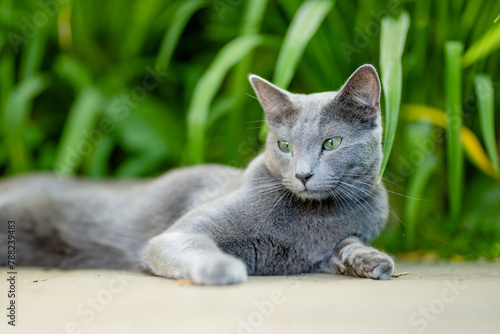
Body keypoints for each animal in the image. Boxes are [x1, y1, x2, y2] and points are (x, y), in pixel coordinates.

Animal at [1, 64, 396, 284]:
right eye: (285, 146)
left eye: (331, 143)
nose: (303, 175)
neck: (317, 215)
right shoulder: (178, 233)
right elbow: (194, 242)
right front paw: (224, 267)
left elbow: (345, 245)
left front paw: (370, 260)